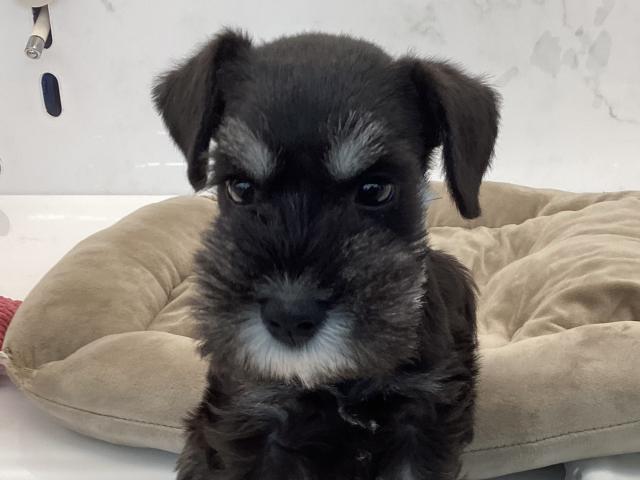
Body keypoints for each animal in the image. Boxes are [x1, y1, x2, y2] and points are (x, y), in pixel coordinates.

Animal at [153, 29, 499, 480]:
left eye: (375, 189)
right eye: (240, 187)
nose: (289, 315)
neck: (336, 382)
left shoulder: (421, 421)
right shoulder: (254, 417)